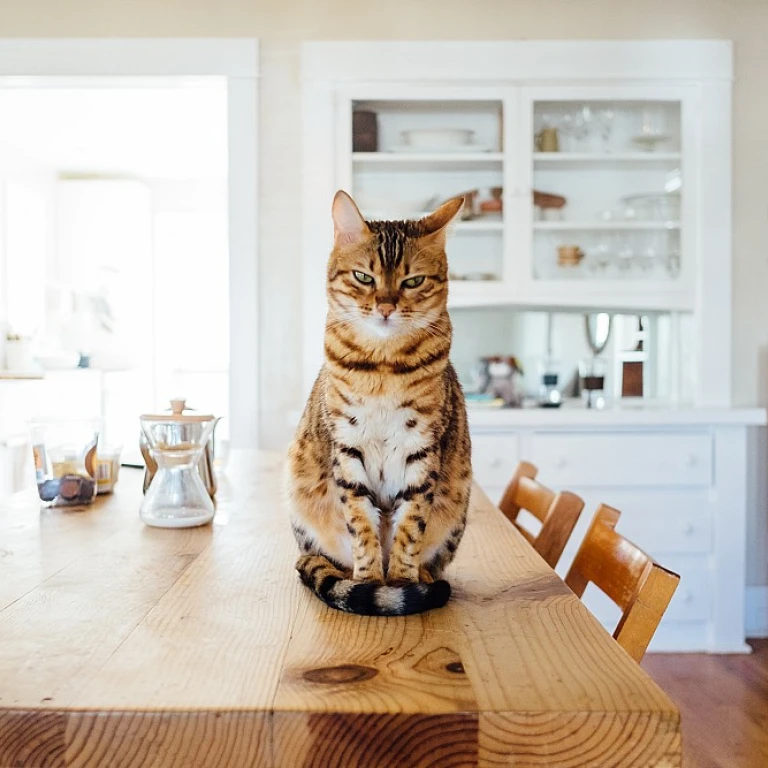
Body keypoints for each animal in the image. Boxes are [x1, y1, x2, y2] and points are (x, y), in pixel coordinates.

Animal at [284, 192, 472, 616]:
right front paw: (369, 582)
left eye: (413, 281)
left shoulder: (422, 449)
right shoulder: (347, 446)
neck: (384, 366)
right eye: (364, 278)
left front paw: (401, 581)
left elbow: (410, 526)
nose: (385, 306)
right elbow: (361, 524)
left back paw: (424, 578)